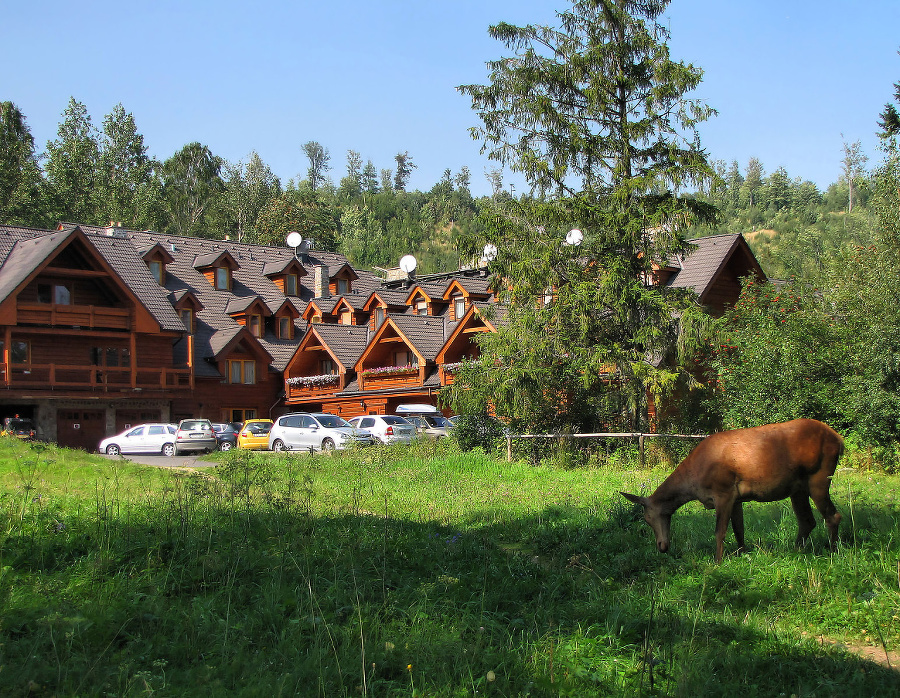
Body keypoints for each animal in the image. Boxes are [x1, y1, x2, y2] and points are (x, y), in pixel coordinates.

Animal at [620, 418, 844, 560]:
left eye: (648, 518)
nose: (662, 547)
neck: (694, 483)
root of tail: (839, 440)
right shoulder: (737, 498)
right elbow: (739, 530)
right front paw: (741, 553)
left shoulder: (724, 492)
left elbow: (720, 531)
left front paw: (717, 561)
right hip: (797, 489)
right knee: (807, 521)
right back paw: (796, 551)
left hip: (819, 477)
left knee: (833, 515)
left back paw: (833, 552)